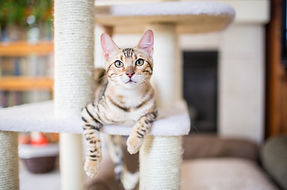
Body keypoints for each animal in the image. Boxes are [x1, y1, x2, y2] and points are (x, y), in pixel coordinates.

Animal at [81, 30, 158, 178]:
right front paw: (92, 165)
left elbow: (143, 121)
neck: (130, 98)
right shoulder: (88, 112)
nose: (129, 73)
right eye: (118, 63)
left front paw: (133, 143)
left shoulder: (153, 110)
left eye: (139, 62)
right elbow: (92, 139)